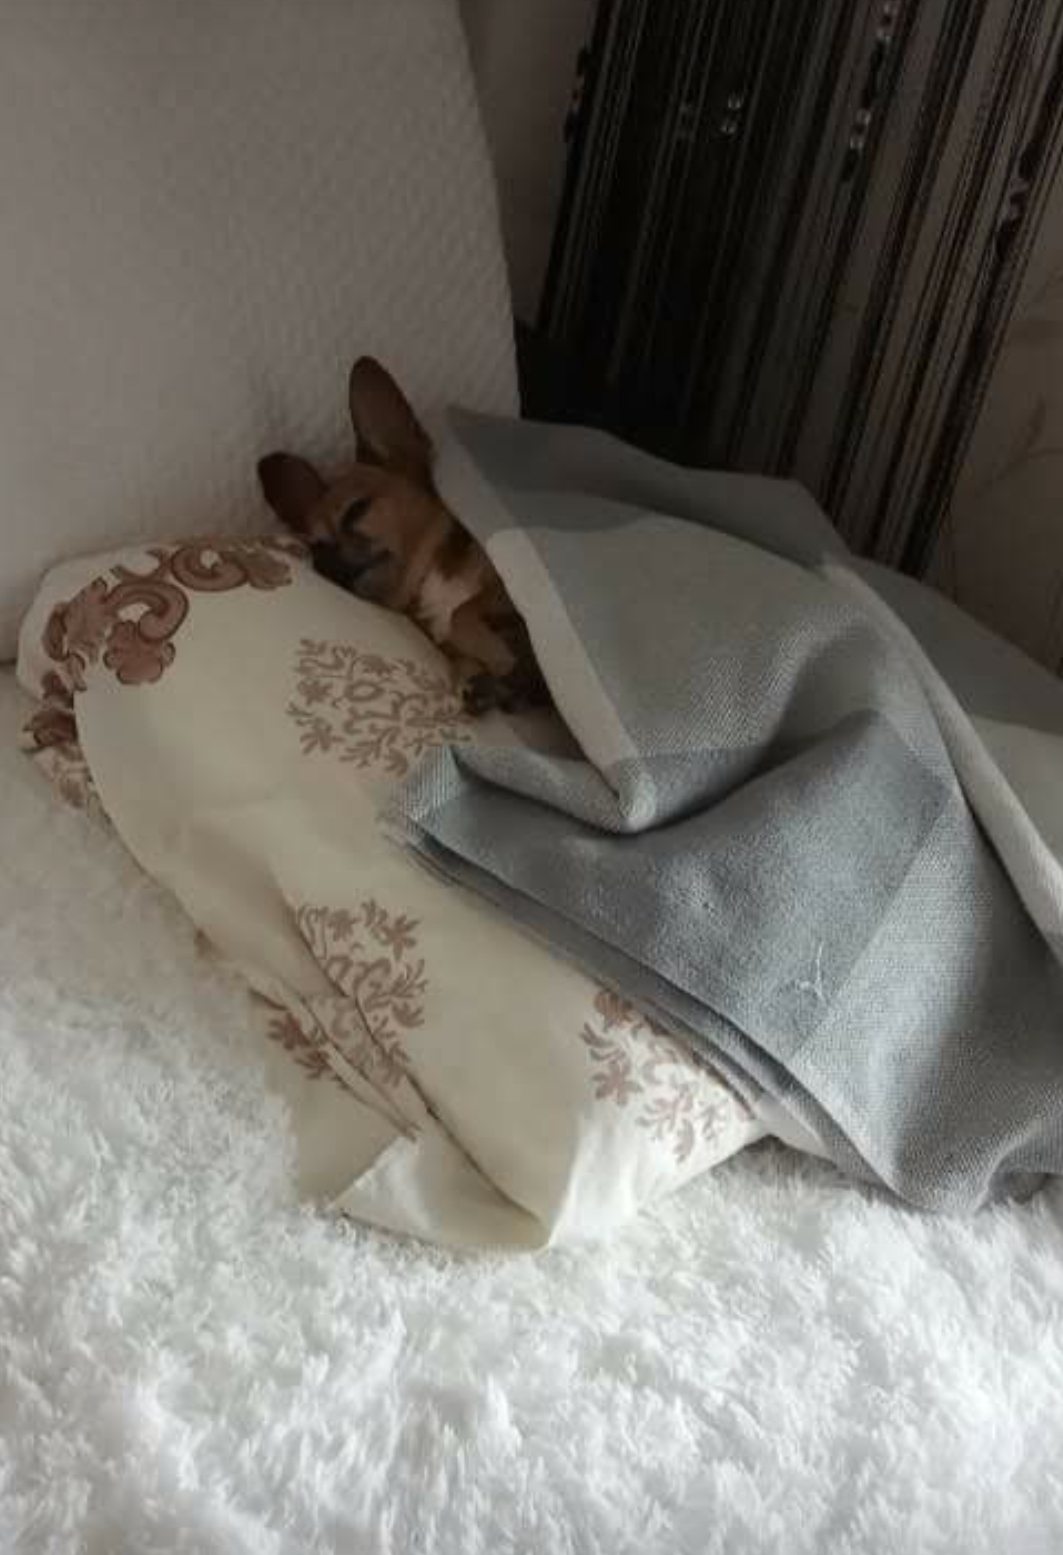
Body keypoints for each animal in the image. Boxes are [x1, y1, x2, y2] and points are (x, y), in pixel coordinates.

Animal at [257, 357, 548, 715]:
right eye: (317, 546)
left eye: (356, 510)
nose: (323, 563)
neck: (428, 583)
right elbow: (463, 651)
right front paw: (490, 679)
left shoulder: (503, 589)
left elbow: (463, 614)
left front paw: (502, 660)